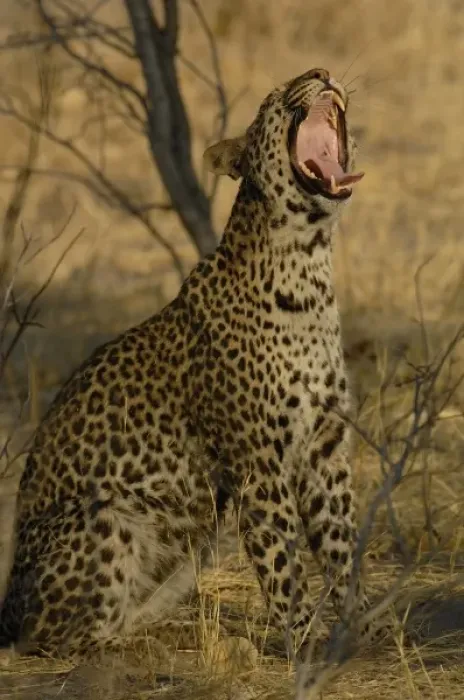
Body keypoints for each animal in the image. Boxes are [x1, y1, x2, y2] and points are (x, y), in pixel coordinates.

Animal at [0, 67, 380, 666]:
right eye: (276, 96)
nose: (318, 73)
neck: (309, 267)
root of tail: (5, 607)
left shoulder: (325, 451)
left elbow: (343, 547)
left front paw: (361, 631)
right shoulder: (257, 469)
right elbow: (285, 565)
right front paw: (303, 643)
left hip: (192, 550)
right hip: (106, 518)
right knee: (59, 638)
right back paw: (149, 643)